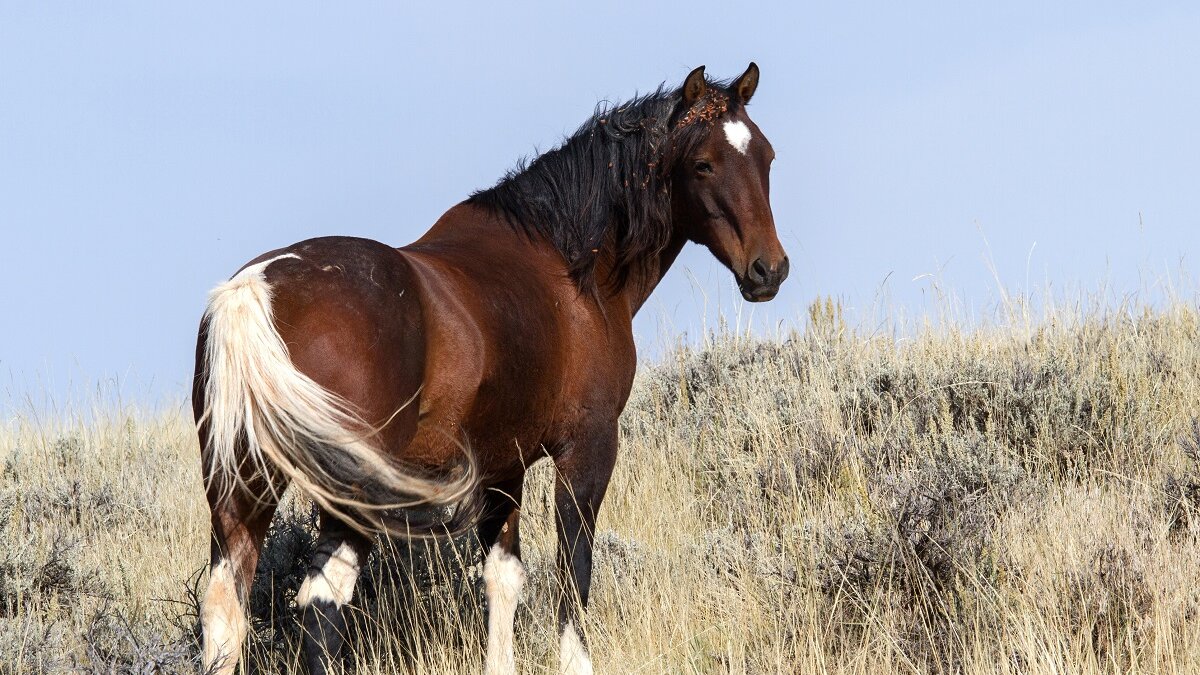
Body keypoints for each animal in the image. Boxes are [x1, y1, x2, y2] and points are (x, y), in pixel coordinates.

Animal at [193, 62, 788, 675]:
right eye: (703, 163)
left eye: (766, 157)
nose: (768, 269)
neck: (570, 267)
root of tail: (253, 291)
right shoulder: (589, 449)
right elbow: (573, 573)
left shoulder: (505, 466)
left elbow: (504, 579)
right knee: (324, 599)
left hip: (244, 484)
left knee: (226, 602)